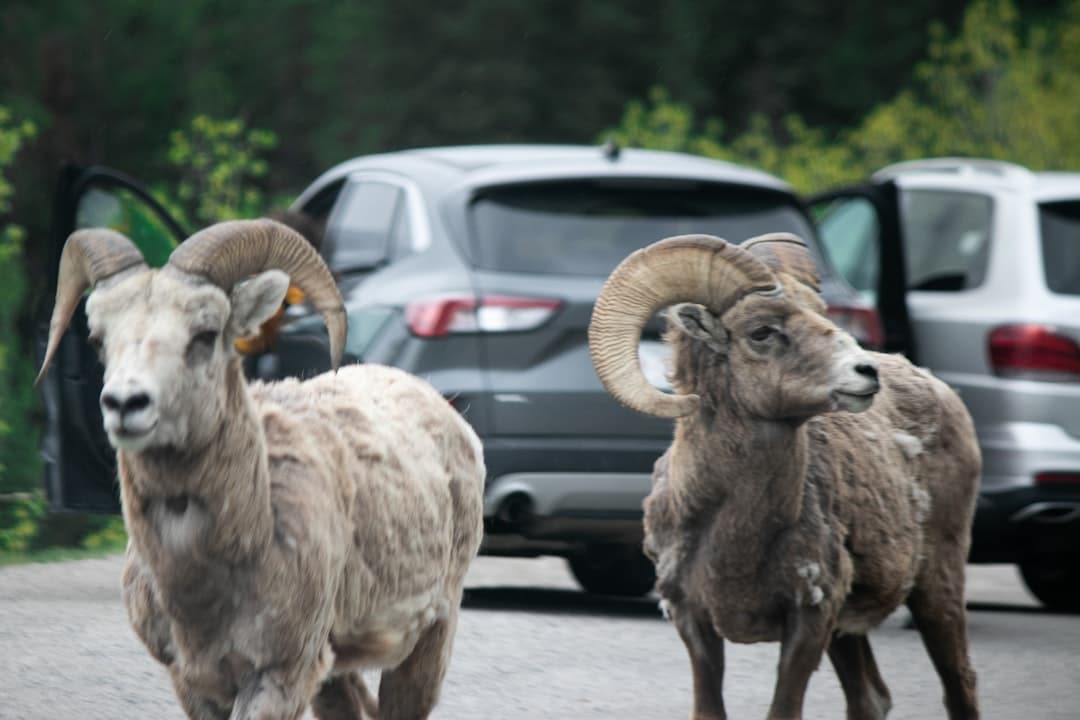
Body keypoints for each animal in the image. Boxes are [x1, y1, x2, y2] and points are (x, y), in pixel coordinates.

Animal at [38, 221, 483, 720]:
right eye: (99, 339)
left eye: (206, 333)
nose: (125, 404)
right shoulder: (193, 683)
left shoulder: (278, 676)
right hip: (335, 673)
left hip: (428, 641)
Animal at [587, 234, 984, 716]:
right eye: (762, 331)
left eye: (820, 312)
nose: (866, 372)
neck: (733, 533)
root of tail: (942, 390)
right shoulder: (693, 621)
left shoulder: (809, 620)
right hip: (849, 632)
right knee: (871, 699)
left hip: (936, 591)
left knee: (959, 686)